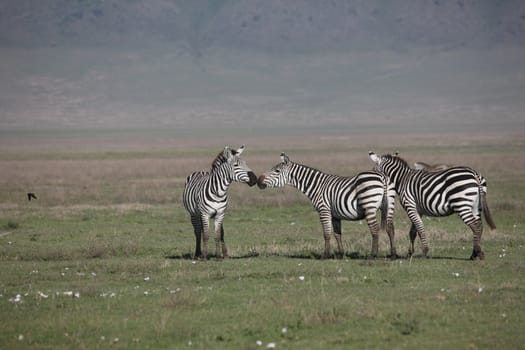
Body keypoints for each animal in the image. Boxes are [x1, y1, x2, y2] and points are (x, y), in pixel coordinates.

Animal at [256, 152, 396, 258]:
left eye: (277, 171)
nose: (258, 180)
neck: (316, 186)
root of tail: (383, 177)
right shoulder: (335, 214)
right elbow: (337, 234)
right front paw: (340, 254)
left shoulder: (324, 210)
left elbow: (326, 233)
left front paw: (325, 255)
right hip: (390, 205)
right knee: (390, 228)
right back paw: (393, 254)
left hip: (369, 206)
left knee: (375, 230)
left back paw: (373, 255)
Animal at [366, 151, 494, 260]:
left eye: (374, 169)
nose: (372, 177)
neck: (402, 179)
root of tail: (475, 174)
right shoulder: (418, 209)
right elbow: (413, 232)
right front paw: (410, 253)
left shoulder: (410, 206)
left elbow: (420, 228)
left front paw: (425, 251)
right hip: (475, 206)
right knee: (479, 226)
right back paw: (475, 253)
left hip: (462, 205)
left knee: (475, 226)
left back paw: (477, 253)